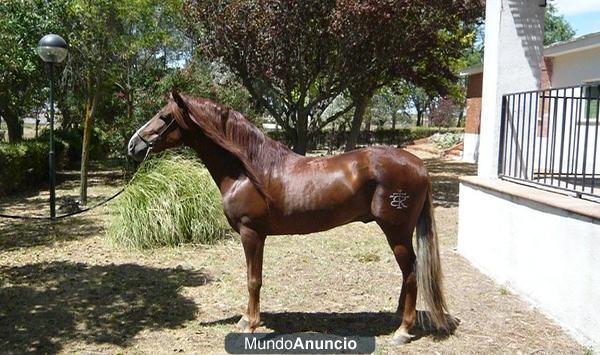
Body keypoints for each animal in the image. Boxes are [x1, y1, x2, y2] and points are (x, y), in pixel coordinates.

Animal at [127, 92, 454, 344]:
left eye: (163, 116)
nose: (133, 144)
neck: (248, 171)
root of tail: (419, 166)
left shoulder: (251, 233)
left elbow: (253, 280)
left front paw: (251, 325)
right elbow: (253, 278)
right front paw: (246, 319)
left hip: (396, 231)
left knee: (411, 272)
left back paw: (402, 330)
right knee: (408, 272)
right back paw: (398, 317)